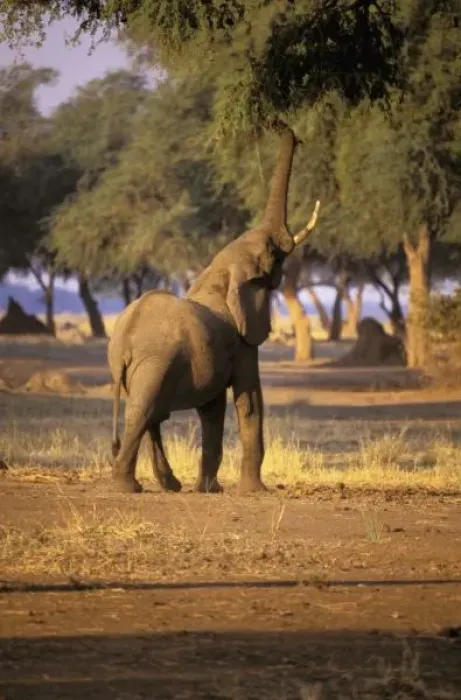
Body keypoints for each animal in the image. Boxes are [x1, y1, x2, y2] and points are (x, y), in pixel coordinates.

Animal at [108, 126, 320, 495]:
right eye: (274, 253)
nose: (284, 127)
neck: (219, 273)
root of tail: (123, 344)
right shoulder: (242, 342)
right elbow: (249, 401)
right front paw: (254, 491)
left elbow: (212, 408)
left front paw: (210, 489)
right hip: (156, 362)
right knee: (143, 412)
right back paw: (128, 487)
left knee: (151, 415)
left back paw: (168, 485)